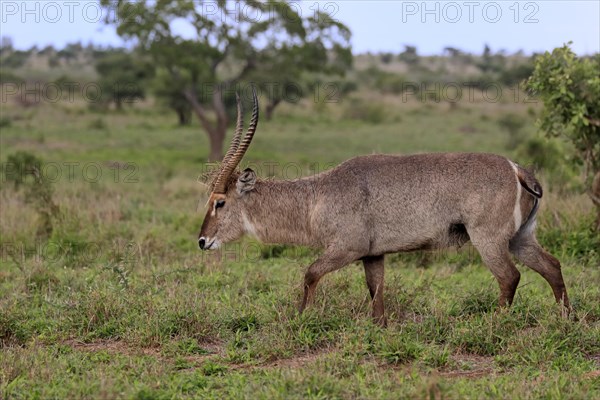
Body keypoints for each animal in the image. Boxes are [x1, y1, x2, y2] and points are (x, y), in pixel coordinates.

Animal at [198, 89, 572, 326]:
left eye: (220, 202)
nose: (202, 241)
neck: (315, 197)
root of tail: (517, 168)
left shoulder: (346, 248)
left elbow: (310, 273)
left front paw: (299, 318)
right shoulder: (373, 254)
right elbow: (376, 294)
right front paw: (380, 331)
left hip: (489, 239)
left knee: (510, 276)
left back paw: (496, 323)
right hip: (521, 238)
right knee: (552, 266)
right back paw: (567, 319)